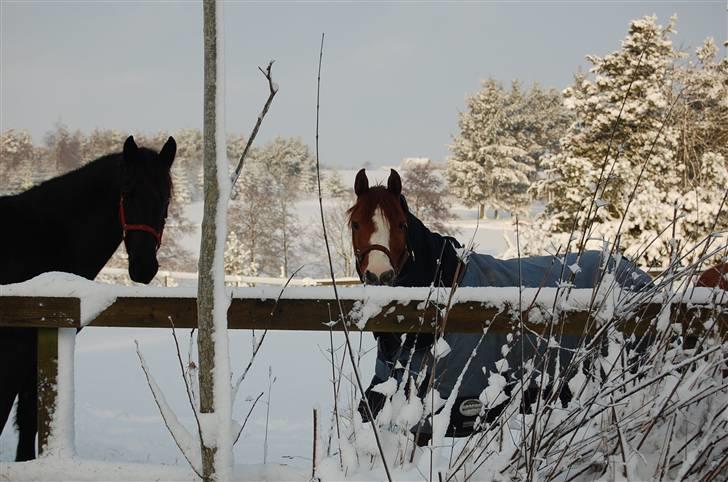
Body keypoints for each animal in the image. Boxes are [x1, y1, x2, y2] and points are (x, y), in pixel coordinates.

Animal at [0, 135, 176, 460]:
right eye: (127, 193)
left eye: (166, 198)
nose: (144, 267)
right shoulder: (11, 353)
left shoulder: (33, 354)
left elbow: (29, 421)